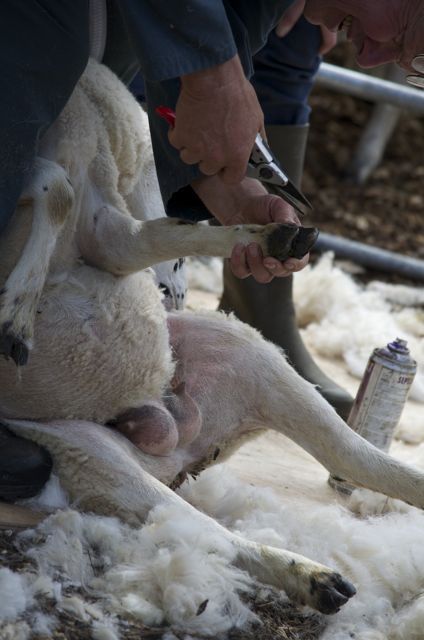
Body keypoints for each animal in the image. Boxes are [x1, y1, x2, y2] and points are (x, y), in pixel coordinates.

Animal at [0, 58, 424, 616]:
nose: (172, 293)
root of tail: (179, 450)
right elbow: (64, 192)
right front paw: (17, 315)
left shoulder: (106, 230)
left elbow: (147, 229)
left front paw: (272, 237)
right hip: (83, 450)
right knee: (199, 523)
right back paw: (312, 578)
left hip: (246, 358)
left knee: (349, 455)